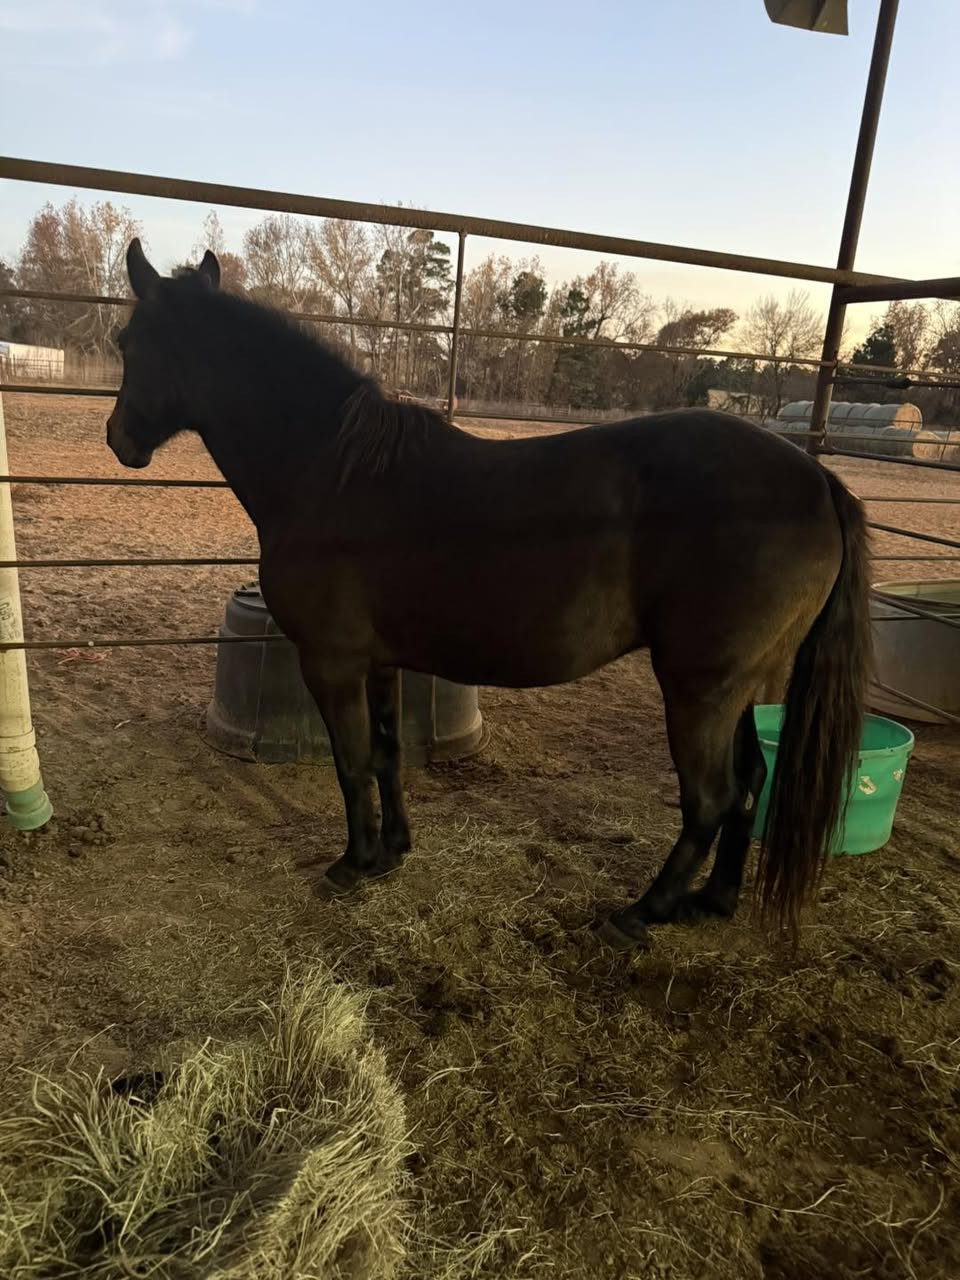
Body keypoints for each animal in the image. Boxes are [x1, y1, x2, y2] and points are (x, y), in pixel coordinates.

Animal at [106, 239, 871, 947]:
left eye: (129, 342)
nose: (119, 439)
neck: (331, 474)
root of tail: (816, 480)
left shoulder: (331, 662)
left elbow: (351, 762)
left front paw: (351, 866)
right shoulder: (380, 662)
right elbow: (386, 754)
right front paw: (391, 854)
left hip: (700, 689)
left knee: (711, 800)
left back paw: (641, 913)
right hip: (744, 685)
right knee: (749, 788)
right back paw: (712, 902)